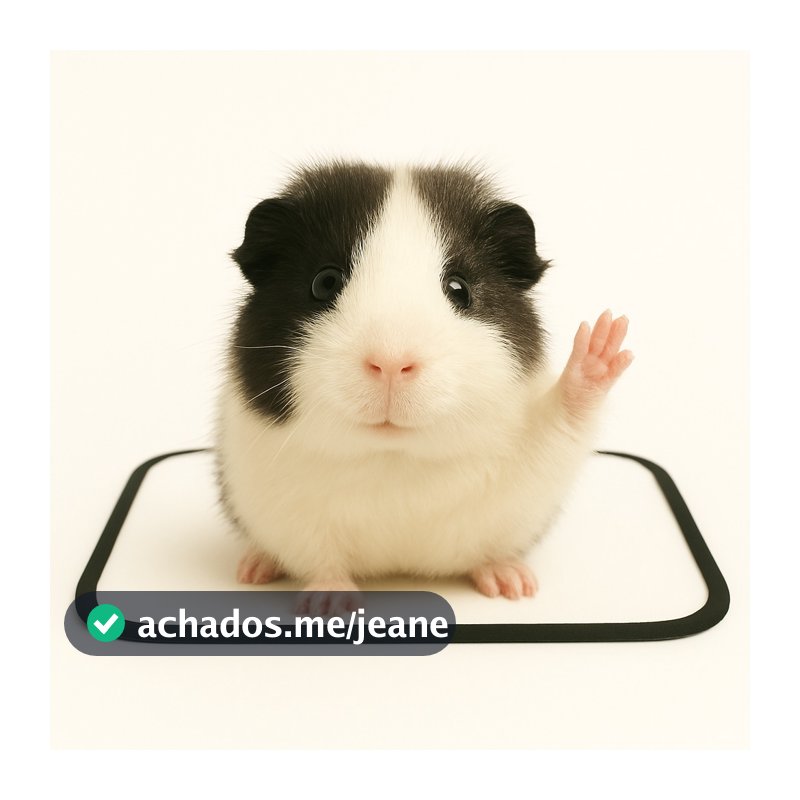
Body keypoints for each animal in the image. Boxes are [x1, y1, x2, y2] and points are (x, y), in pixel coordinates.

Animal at [215, 161, 632, 606]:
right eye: (324, 282)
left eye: (459, 289)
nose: (391, 362)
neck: (395, 455)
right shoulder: (290, 516)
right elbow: (323, 566)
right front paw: (330, 606)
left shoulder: (530, 464)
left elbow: (562, 420)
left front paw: (604, 340)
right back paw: (253, 570)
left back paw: (509, 581)